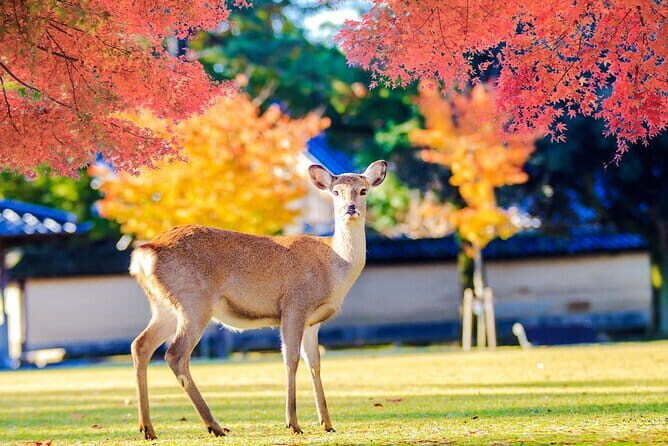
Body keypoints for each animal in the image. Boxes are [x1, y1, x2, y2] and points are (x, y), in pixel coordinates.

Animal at [129, 160, 387, 440]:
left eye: (363, 190)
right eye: (335, 192)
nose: (350, 209)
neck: (334, 267)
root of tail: (143, 254)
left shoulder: (313, 321)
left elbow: (315, 363)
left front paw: (327, 423)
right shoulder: (294, 305)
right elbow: (291, 359)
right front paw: (293, 423)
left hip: (164, 306)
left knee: (140, 345)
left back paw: (148, 428)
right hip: (194, 302)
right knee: (175, 354)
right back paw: (214, 425)